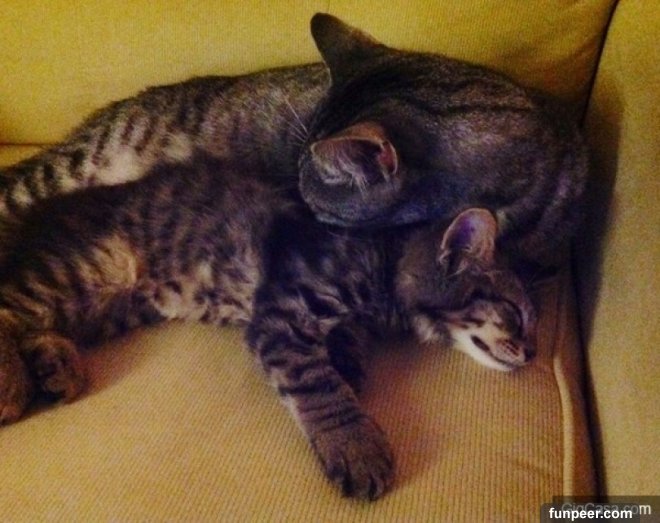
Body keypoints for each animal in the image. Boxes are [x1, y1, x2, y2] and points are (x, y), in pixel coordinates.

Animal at [0, 155, 536, 500]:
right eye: (515, 313)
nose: (532, 353)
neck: (384, 257)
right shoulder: (283, 313)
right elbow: (320, 388)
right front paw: (355, 444)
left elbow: (348, 347)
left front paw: (348, 363)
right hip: (93, 267)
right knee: (7, 306)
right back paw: (13, 383)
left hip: (114, 304)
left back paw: (54, 366)